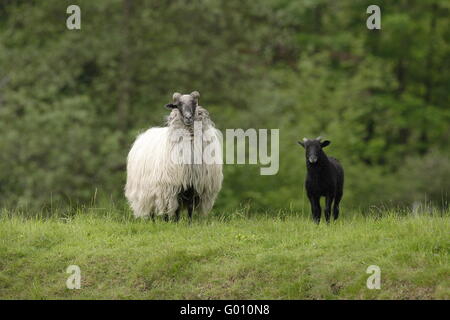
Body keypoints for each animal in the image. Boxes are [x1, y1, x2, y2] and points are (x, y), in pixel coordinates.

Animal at [125, 90, 223, 220]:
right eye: (178, 105)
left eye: (194, 103)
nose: (188, 117)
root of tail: (144, 134)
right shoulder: (173, 187)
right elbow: (175, 211)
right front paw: (175, 223)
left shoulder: (193, 187)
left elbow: (190, 211)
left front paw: (189, 223)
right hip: (149, 193)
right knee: (154, 213)